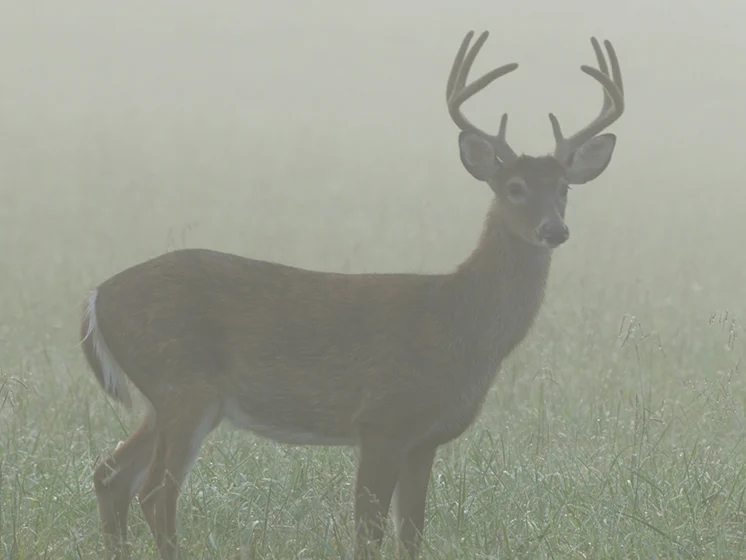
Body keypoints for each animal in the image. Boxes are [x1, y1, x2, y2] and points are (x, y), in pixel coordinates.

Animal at [81, 30, 625, 560]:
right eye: (513, 187)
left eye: (564, 188)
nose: (554, 230)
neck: (458, 320)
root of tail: (96, 297)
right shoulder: (382, 420)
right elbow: (369, 533)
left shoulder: (424, 439)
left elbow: (411, 535)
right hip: (183, 384)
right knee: (155, 492)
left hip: (165, 399)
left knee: (110, 475)